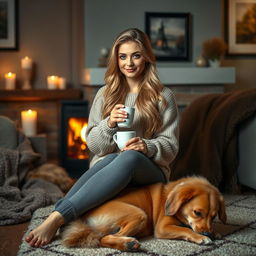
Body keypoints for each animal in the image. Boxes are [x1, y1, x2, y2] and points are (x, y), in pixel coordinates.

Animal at [61, 177, 226, 251]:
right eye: (197, 212)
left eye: (214, 216)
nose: (207, 233)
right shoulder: (162, 228)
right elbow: (186, 230)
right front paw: (201, 237)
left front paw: (214, 233)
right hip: (139, 214)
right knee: (103, 238)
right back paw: (127, 243)